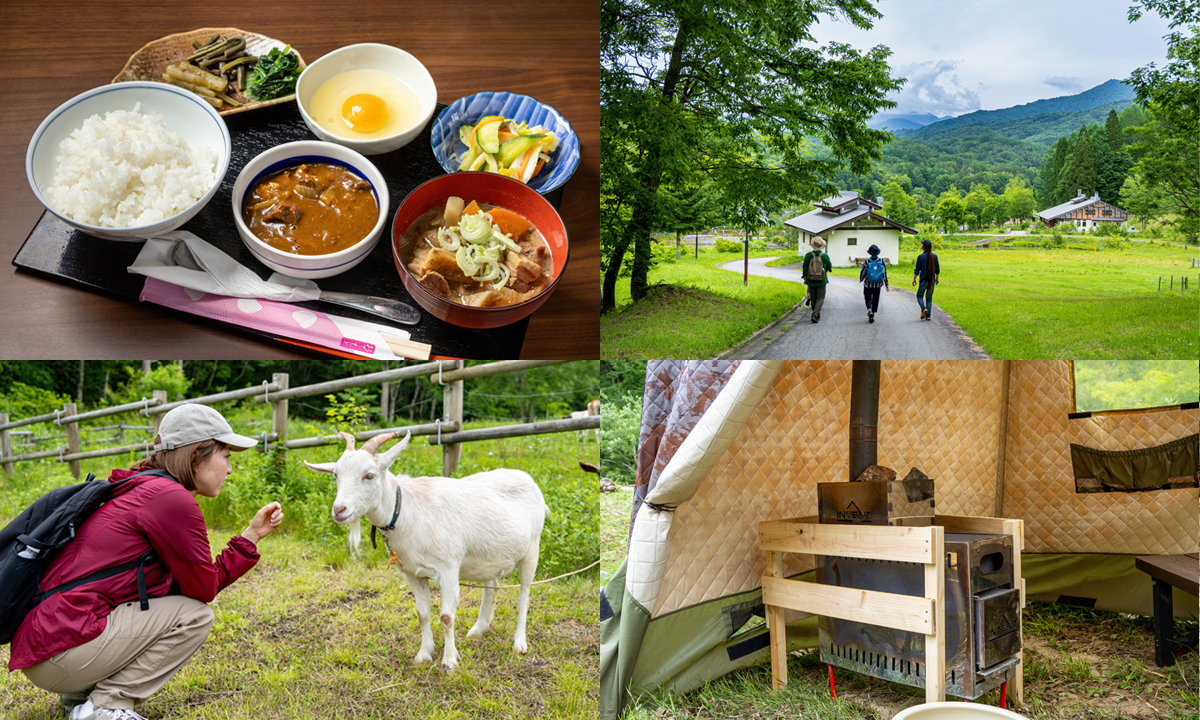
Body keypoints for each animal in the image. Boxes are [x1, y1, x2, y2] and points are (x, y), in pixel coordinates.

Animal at [309, 427, 552, 667]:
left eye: (369, 475)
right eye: (336, 475)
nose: (339, 510)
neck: (406, 510)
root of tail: (526, 477)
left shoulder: (448, 569)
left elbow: (446, 617)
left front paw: (449, 661)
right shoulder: (412, 573)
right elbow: (422, 614)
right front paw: (424, 654)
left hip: (532, 548)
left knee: (524, 594)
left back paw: (519, 643)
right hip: (489, 557)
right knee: (492, 586)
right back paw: (478, 629)